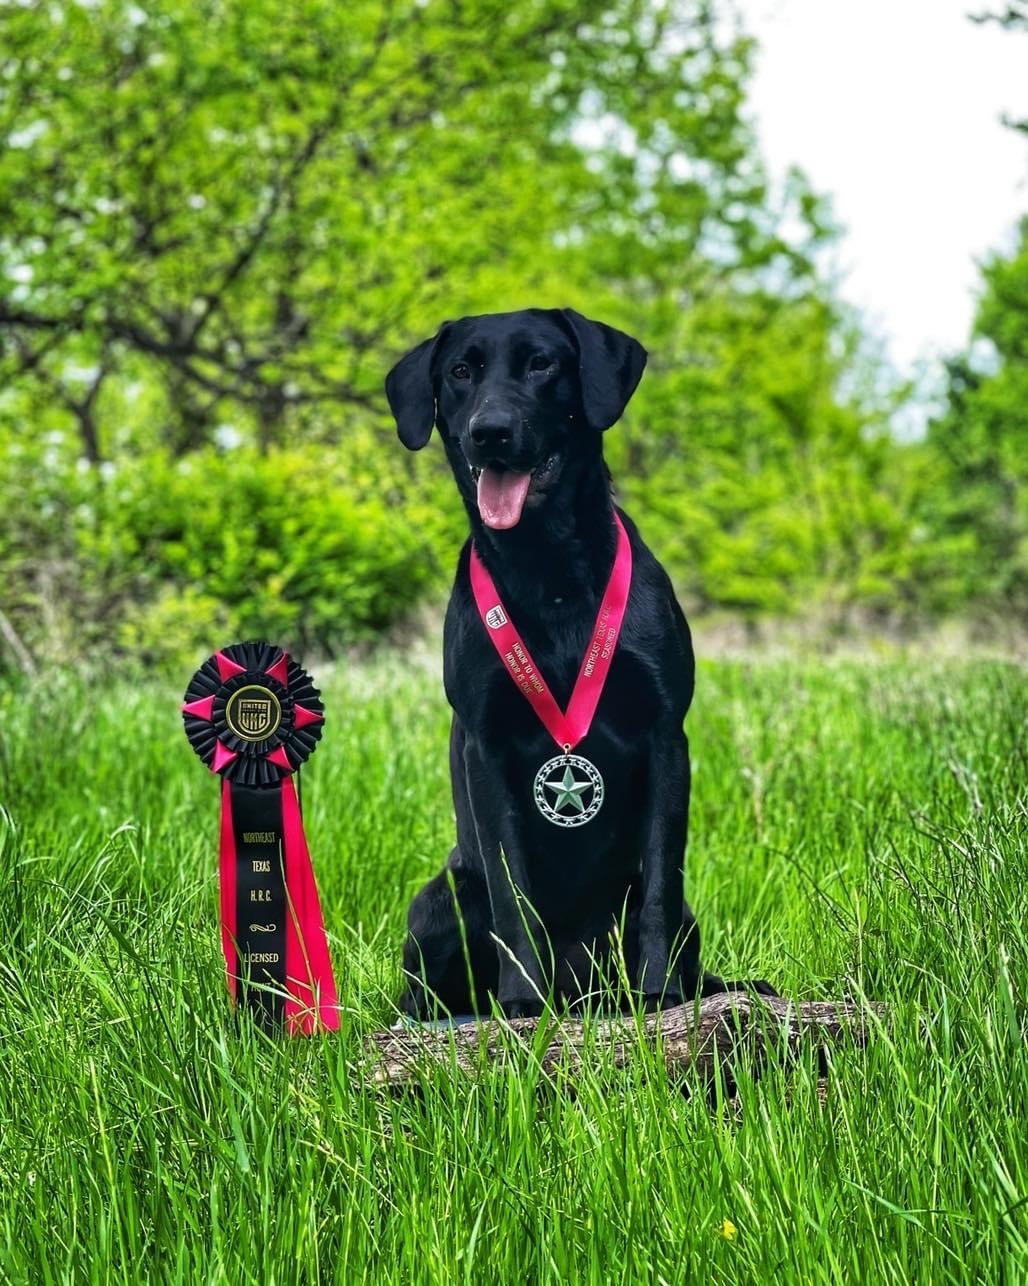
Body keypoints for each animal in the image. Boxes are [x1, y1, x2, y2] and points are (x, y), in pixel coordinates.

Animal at [385, 308, 771, 1013]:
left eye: (542, 364)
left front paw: (657, 993)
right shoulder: (487, 748)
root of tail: (579, 993)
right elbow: (512, 894)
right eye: (460, 371)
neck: (550, 570)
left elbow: (659, 890)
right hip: (438, 901)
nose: (490, 432)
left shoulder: (666, 738)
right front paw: (519, 1002)